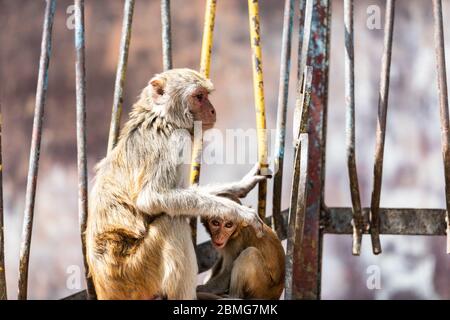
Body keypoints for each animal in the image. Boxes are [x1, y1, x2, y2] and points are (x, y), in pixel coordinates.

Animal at [86, 68, 266, 300]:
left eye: (206, 95)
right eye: (199, 96)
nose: (213, 110)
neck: (162, 118)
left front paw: (239, 186)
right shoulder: (176, 141)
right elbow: (152, 199)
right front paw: (238, 212)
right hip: (134, 275)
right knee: (172, 223)